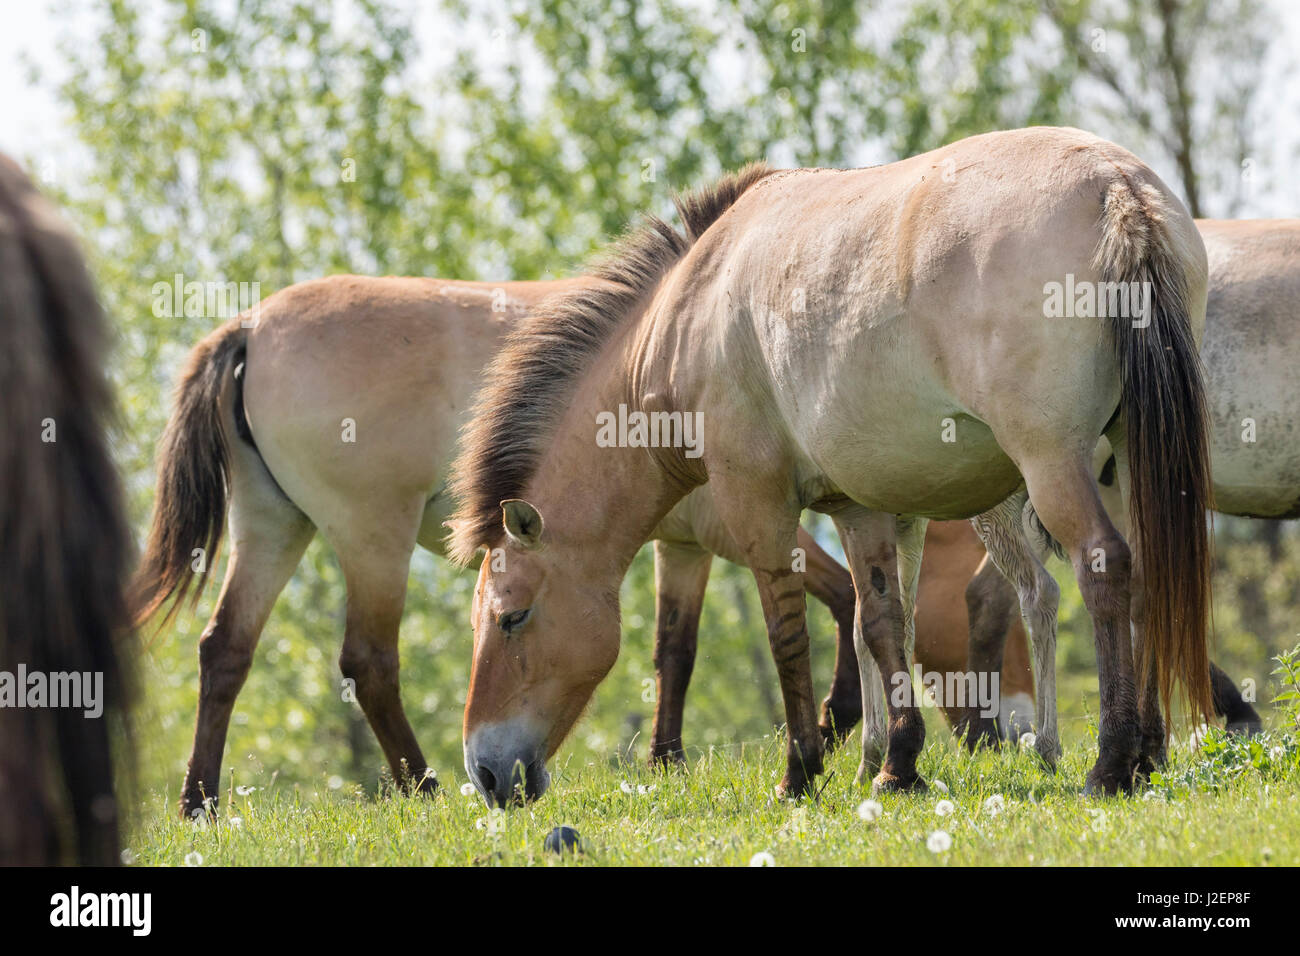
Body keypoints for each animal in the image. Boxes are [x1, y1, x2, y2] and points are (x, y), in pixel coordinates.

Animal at [452, 123, 1211, 806]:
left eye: (511, 618)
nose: (485, 773)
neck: (690, 311)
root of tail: (1116, 186)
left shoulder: (757, 505)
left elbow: (787, 631)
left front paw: (801, 771)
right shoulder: (858, 506)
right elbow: (879, 622)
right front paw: (896, 765)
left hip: (1052, 464)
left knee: (1101, 568)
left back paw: (1111, 764)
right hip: (1128, 466)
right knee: (1144, 580)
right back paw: (1148, 752)